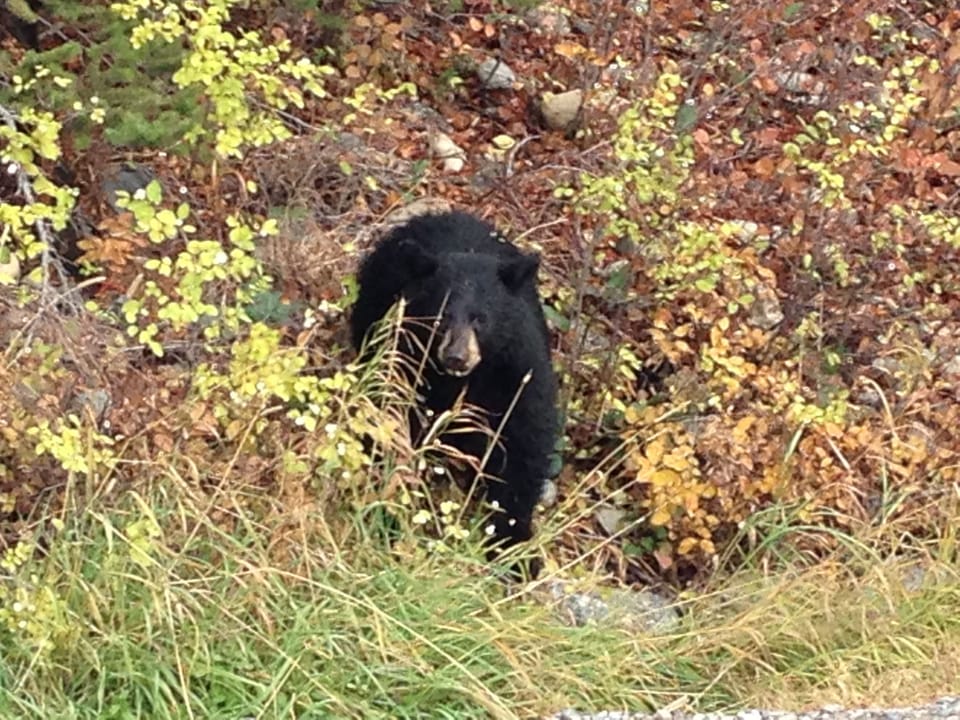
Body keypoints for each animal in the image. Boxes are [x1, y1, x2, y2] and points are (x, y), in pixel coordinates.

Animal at [350, 210, 558, 577]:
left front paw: (514, 547)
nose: (456, 356)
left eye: (481, 319)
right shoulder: (405, 357)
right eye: (442, 314)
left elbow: (525, 443)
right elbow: (394, 424)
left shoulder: (517, 368)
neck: (464, 380)